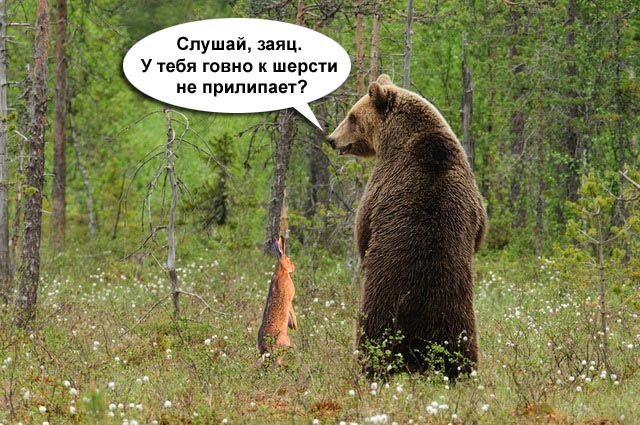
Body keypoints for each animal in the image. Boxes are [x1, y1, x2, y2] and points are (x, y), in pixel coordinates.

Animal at [257, 236, 297, 364]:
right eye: (289, 259)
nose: (294, 267)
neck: (282, 270)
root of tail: (266, 346)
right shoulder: (290, 298)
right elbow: (291, 309)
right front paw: (295, 325)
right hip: (284, 344)